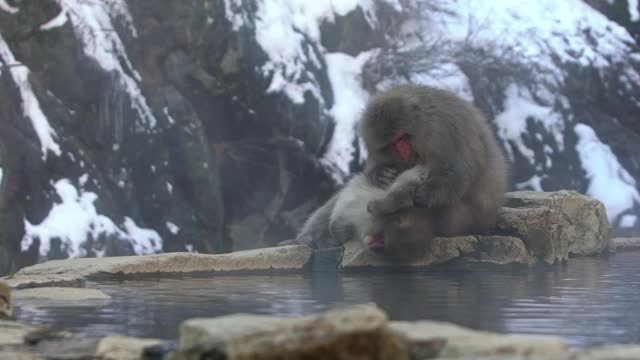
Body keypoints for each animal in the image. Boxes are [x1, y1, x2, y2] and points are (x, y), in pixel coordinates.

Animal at [362, 84, 508, 236]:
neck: (423, 124)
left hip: (462, 218)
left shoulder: (442, 131)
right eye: (393, 143)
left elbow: (457, 170)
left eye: (402, 138)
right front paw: (382, 173)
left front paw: (426, 193)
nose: (403, 150)